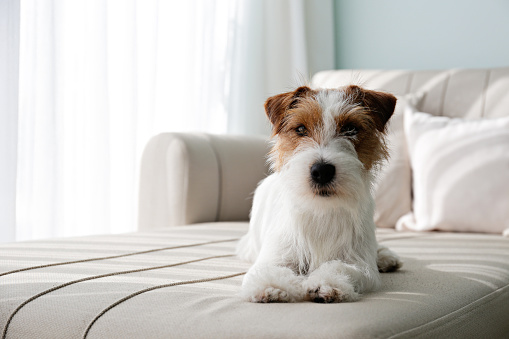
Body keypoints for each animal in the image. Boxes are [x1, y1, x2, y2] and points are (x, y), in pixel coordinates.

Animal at [236, 84, 402, 302]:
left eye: (350, 129)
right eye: (300, 129)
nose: (321, 171)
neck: (321, 210)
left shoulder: (361, 265)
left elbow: (341, 267)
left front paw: (326, 283)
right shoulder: (275, 257)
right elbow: (271, 270)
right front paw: (270, 286)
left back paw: (384, 256)